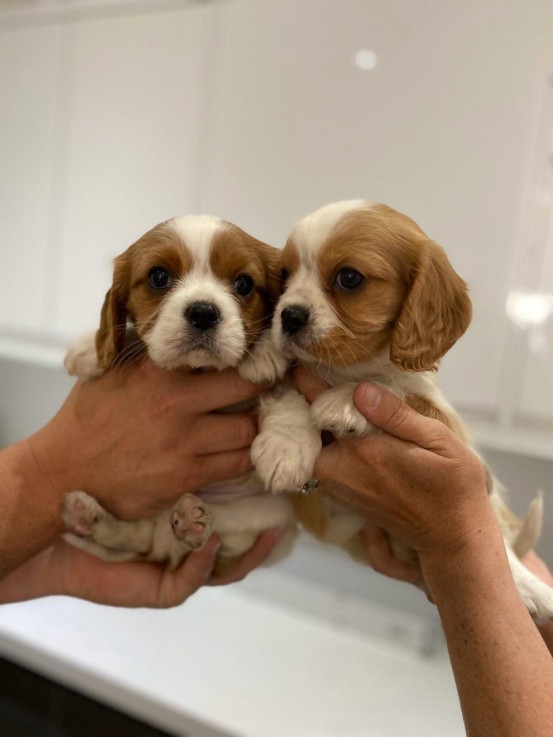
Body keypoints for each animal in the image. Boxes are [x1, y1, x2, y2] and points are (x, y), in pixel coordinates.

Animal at [62, 213, 296, 568]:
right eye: (159, 277)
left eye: (243, 284)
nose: (203, 312)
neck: (197, 370)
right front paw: (89, 348)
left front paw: (264, 351)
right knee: (139, 535)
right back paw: (92, 518)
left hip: (268, 512)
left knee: (218, 538)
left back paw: (191, 522)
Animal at [251, 201, 552, 620]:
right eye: (284, 274)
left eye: (349, 278)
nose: (289, 315)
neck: (347, 369)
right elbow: (289, 389)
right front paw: (285, 448)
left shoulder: (441, 415)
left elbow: (396, 391)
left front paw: (345, 400)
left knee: (502, 543)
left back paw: (530, 590)